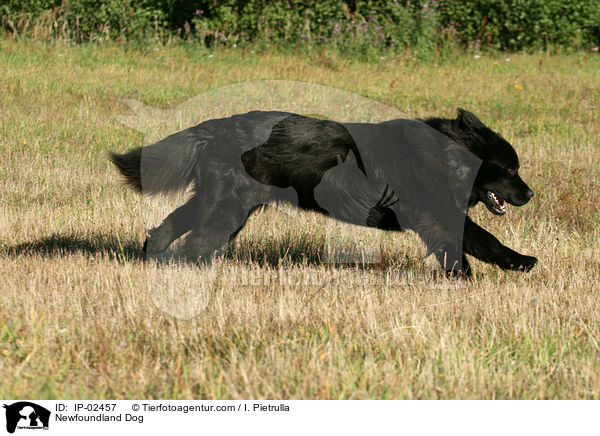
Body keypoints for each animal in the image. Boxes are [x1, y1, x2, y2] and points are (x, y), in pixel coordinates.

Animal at [110, 107, 536, 276]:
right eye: (510, 169)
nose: (530, 194)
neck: (445, 155)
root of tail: (217, 127)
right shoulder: (438, 214)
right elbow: (481, 239)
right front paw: (513, 264)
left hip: (221, 202)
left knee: (171, 226)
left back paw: (152, 254)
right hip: (227, 208)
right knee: (197, 243)